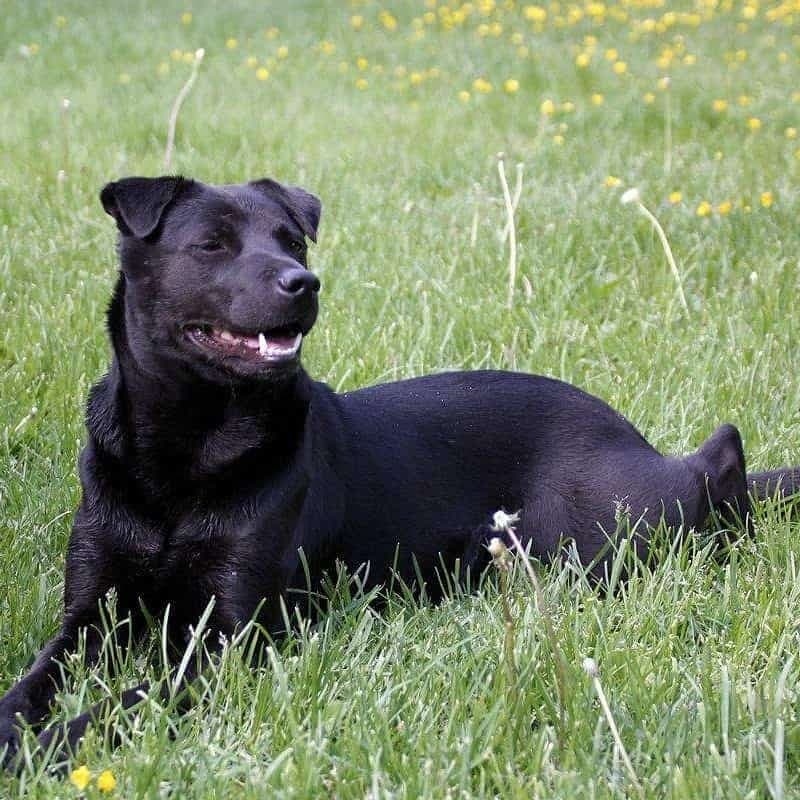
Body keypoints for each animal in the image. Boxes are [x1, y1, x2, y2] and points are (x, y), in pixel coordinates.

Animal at [3, 177, 796, 768]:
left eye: (292, 240)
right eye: (212, 244)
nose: (304, 281)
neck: (188, 449)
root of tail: (630, 433)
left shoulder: (232, 636)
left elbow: (132, 698)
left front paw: (52, 744)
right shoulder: (89, 614)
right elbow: (35, 678)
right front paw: (16, 725)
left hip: (601, 528)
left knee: (714, 470)